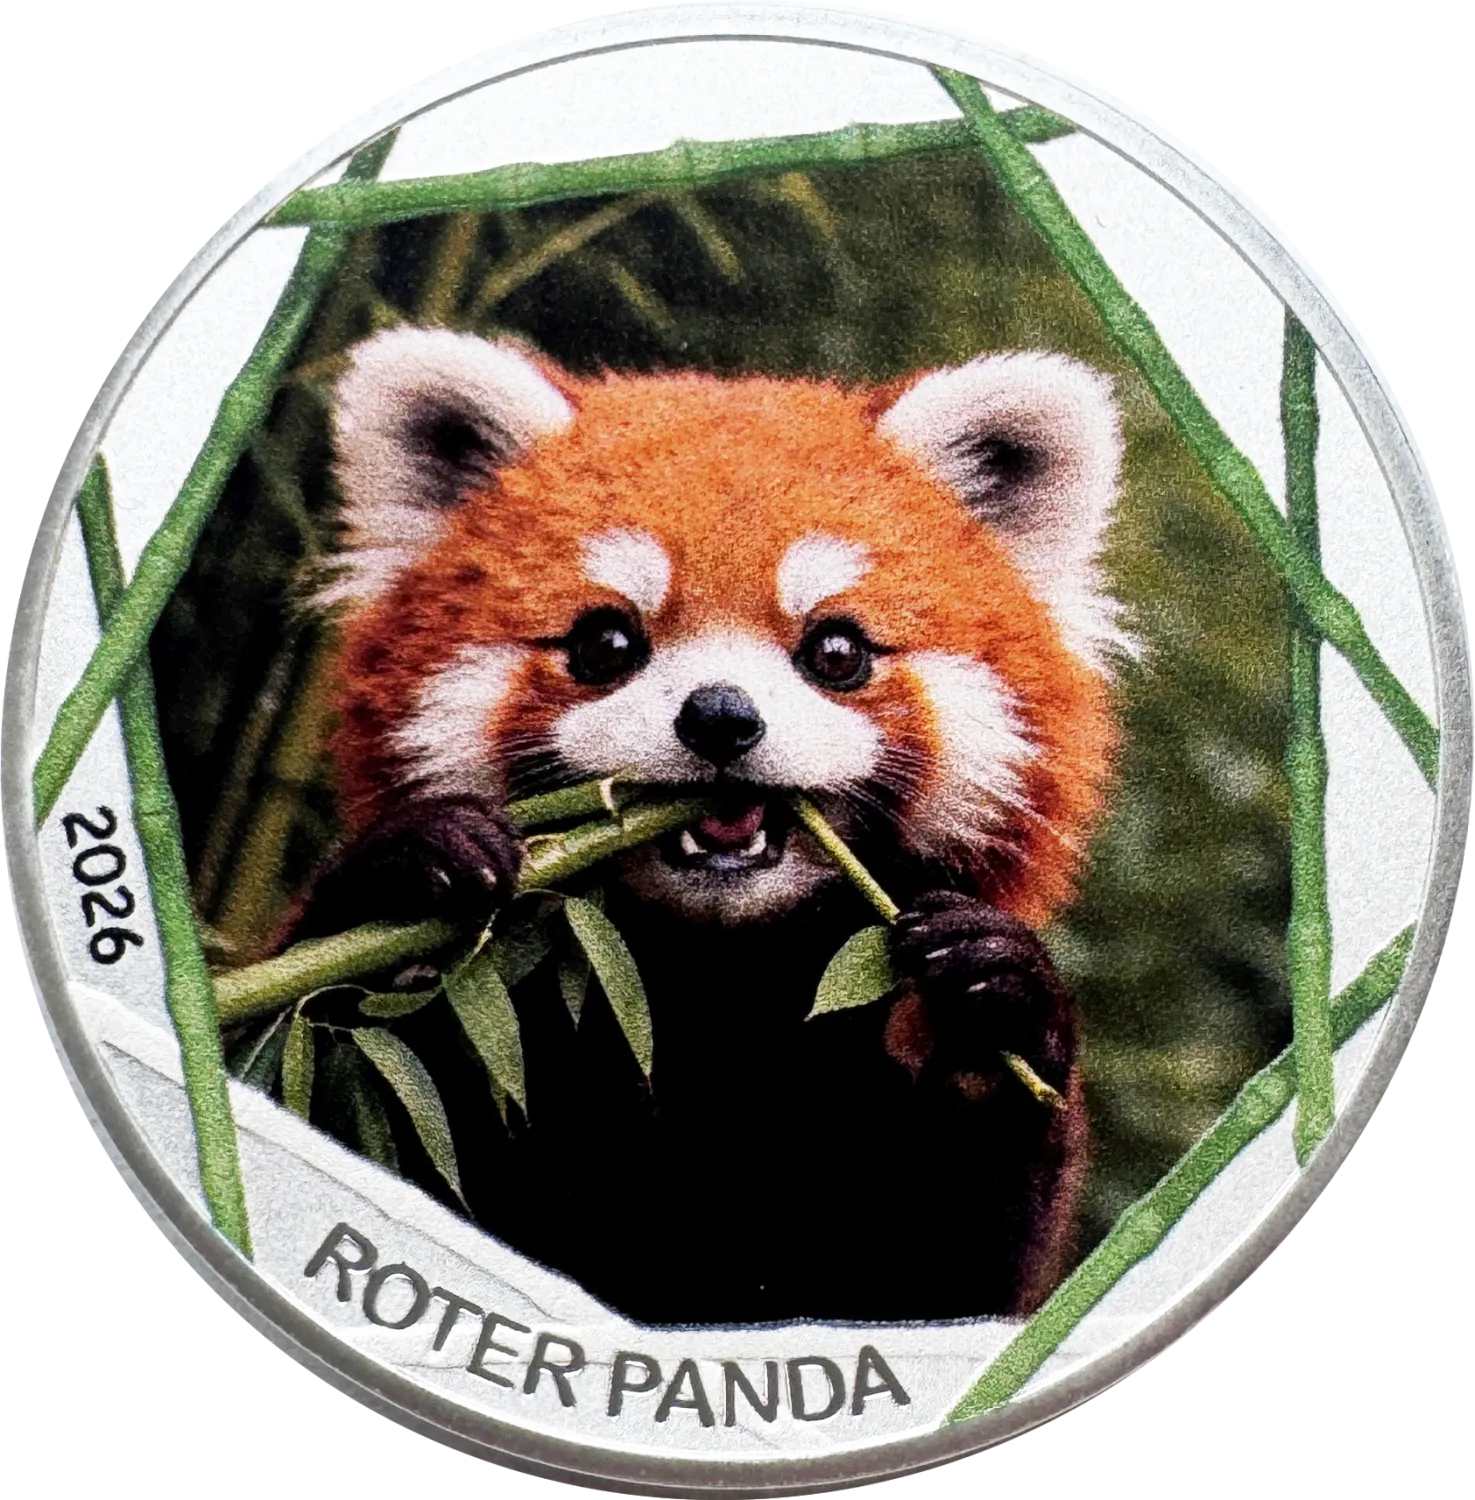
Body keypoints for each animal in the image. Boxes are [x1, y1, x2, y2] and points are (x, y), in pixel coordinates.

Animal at [291, 326, 1123, 1326]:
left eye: (836, 651)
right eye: (605, 643)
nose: (720, 717)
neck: (701, 992)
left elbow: (953, 1269)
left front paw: (994, 997)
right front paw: (416, 867)